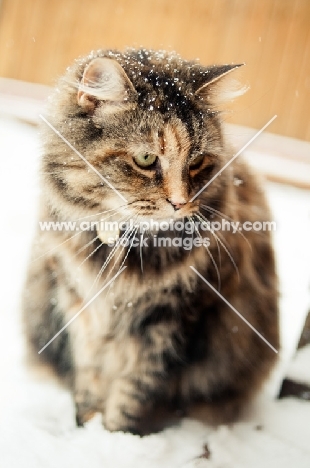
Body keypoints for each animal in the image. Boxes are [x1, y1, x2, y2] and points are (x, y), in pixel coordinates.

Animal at [21, 48, 278, 436]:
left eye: (197, 161)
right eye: (145, 159)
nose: (180, 203)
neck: (118, 244)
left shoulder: (173, 318)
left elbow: (133, 392)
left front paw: (116, 437)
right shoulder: (78, 302)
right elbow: (90, 378)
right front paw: (88, 428)